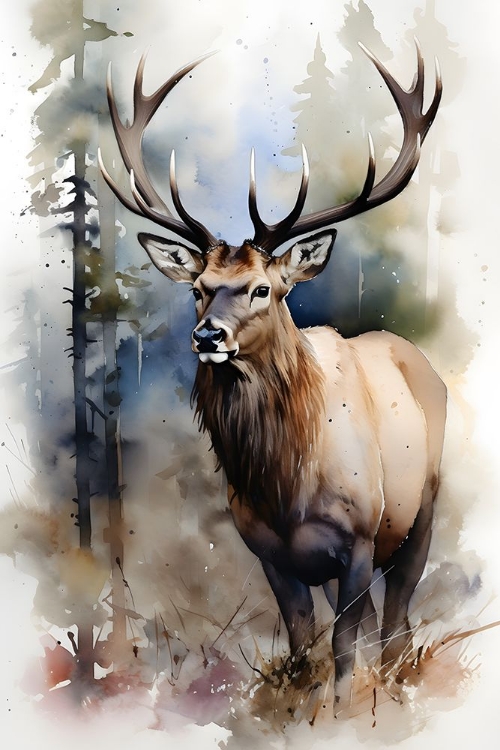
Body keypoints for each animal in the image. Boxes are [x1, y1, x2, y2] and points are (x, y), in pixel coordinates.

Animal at [99, 42, 446, 712]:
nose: (208, 337)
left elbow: (344, 648)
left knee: (395, 622)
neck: (285, 488)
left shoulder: (359, 538)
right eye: (200, 288)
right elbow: (303, 645)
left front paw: (340, 714)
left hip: (422, 510)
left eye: (262, 288)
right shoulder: (268, 552)